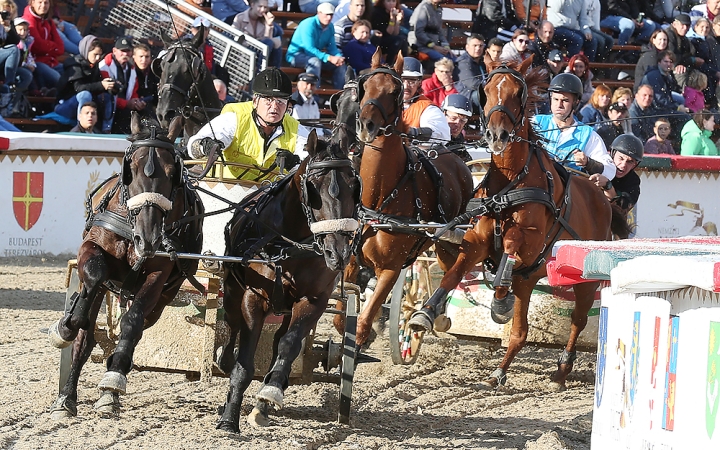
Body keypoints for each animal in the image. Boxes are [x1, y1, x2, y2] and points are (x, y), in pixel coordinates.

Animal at [47, 112, 205, 418]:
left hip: (165, 294)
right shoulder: (91, 249)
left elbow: (132, 323)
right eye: (131, 168)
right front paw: (67, 325)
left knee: (138, 326)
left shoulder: (159, 274)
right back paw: (67, 396)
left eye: (173, 172)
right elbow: (93, 279)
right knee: (86, 335)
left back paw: (112, 383)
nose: (149, 237)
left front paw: (113, 380)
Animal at [212, 127, 360, 432]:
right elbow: (245, 361)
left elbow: (289, 345)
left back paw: (262, 404)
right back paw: (225, 361)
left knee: (280, 340)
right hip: (232, 290)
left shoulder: (314, 301)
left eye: (354, 184)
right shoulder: (254, 297)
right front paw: (229, 418)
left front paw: (271, 391)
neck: (289, 244)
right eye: (313, 185)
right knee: (232, 325)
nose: (338, 252)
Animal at [334, 53, 476, 348]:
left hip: (446, 240)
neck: (378, 200)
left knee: (451, 269)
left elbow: (363, 321)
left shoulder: (390, 269)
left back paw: (431, 316)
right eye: (365, 87)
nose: (365, 127)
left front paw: (368, 334)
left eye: (394, 91)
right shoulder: (351, 261)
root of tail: (454, 156)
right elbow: (342, 317)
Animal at [410, 58, 632, 390]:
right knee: (520, 331)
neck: (511, 182)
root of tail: (603, 201)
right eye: (486, 90)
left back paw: (562, 370)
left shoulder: (531, 241)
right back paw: (499, 371)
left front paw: (500, 299)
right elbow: (453, 274)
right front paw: (425, 313)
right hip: (529, 280)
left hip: (583, 280)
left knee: (577, 319)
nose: (497, 135)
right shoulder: (477, 242)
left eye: (518, 93)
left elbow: (511, 245)